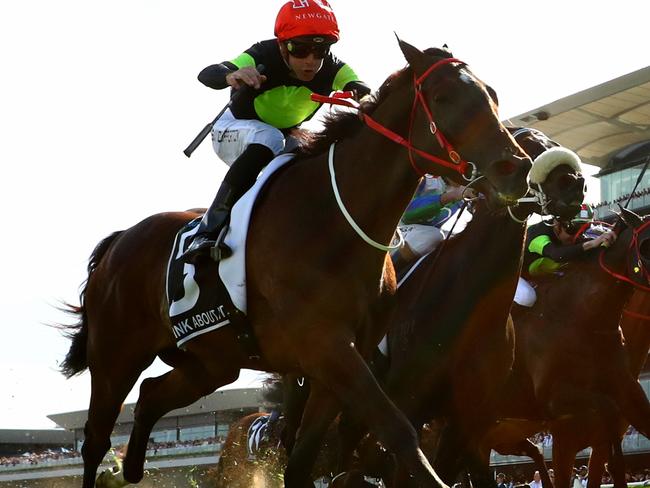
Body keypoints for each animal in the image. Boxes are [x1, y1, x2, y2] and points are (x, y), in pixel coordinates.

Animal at [59, 41, 532, 488]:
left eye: (491, 94)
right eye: (442, 96)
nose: (517, 168)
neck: (333, 219)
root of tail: (119, 241)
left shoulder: (336, 363)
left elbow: (302, 463)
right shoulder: (327, 348)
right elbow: (396, 430)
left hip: (211, 361)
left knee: (151, 396)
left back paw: (127, 470)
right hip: (116, 356)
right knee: (96, 437)